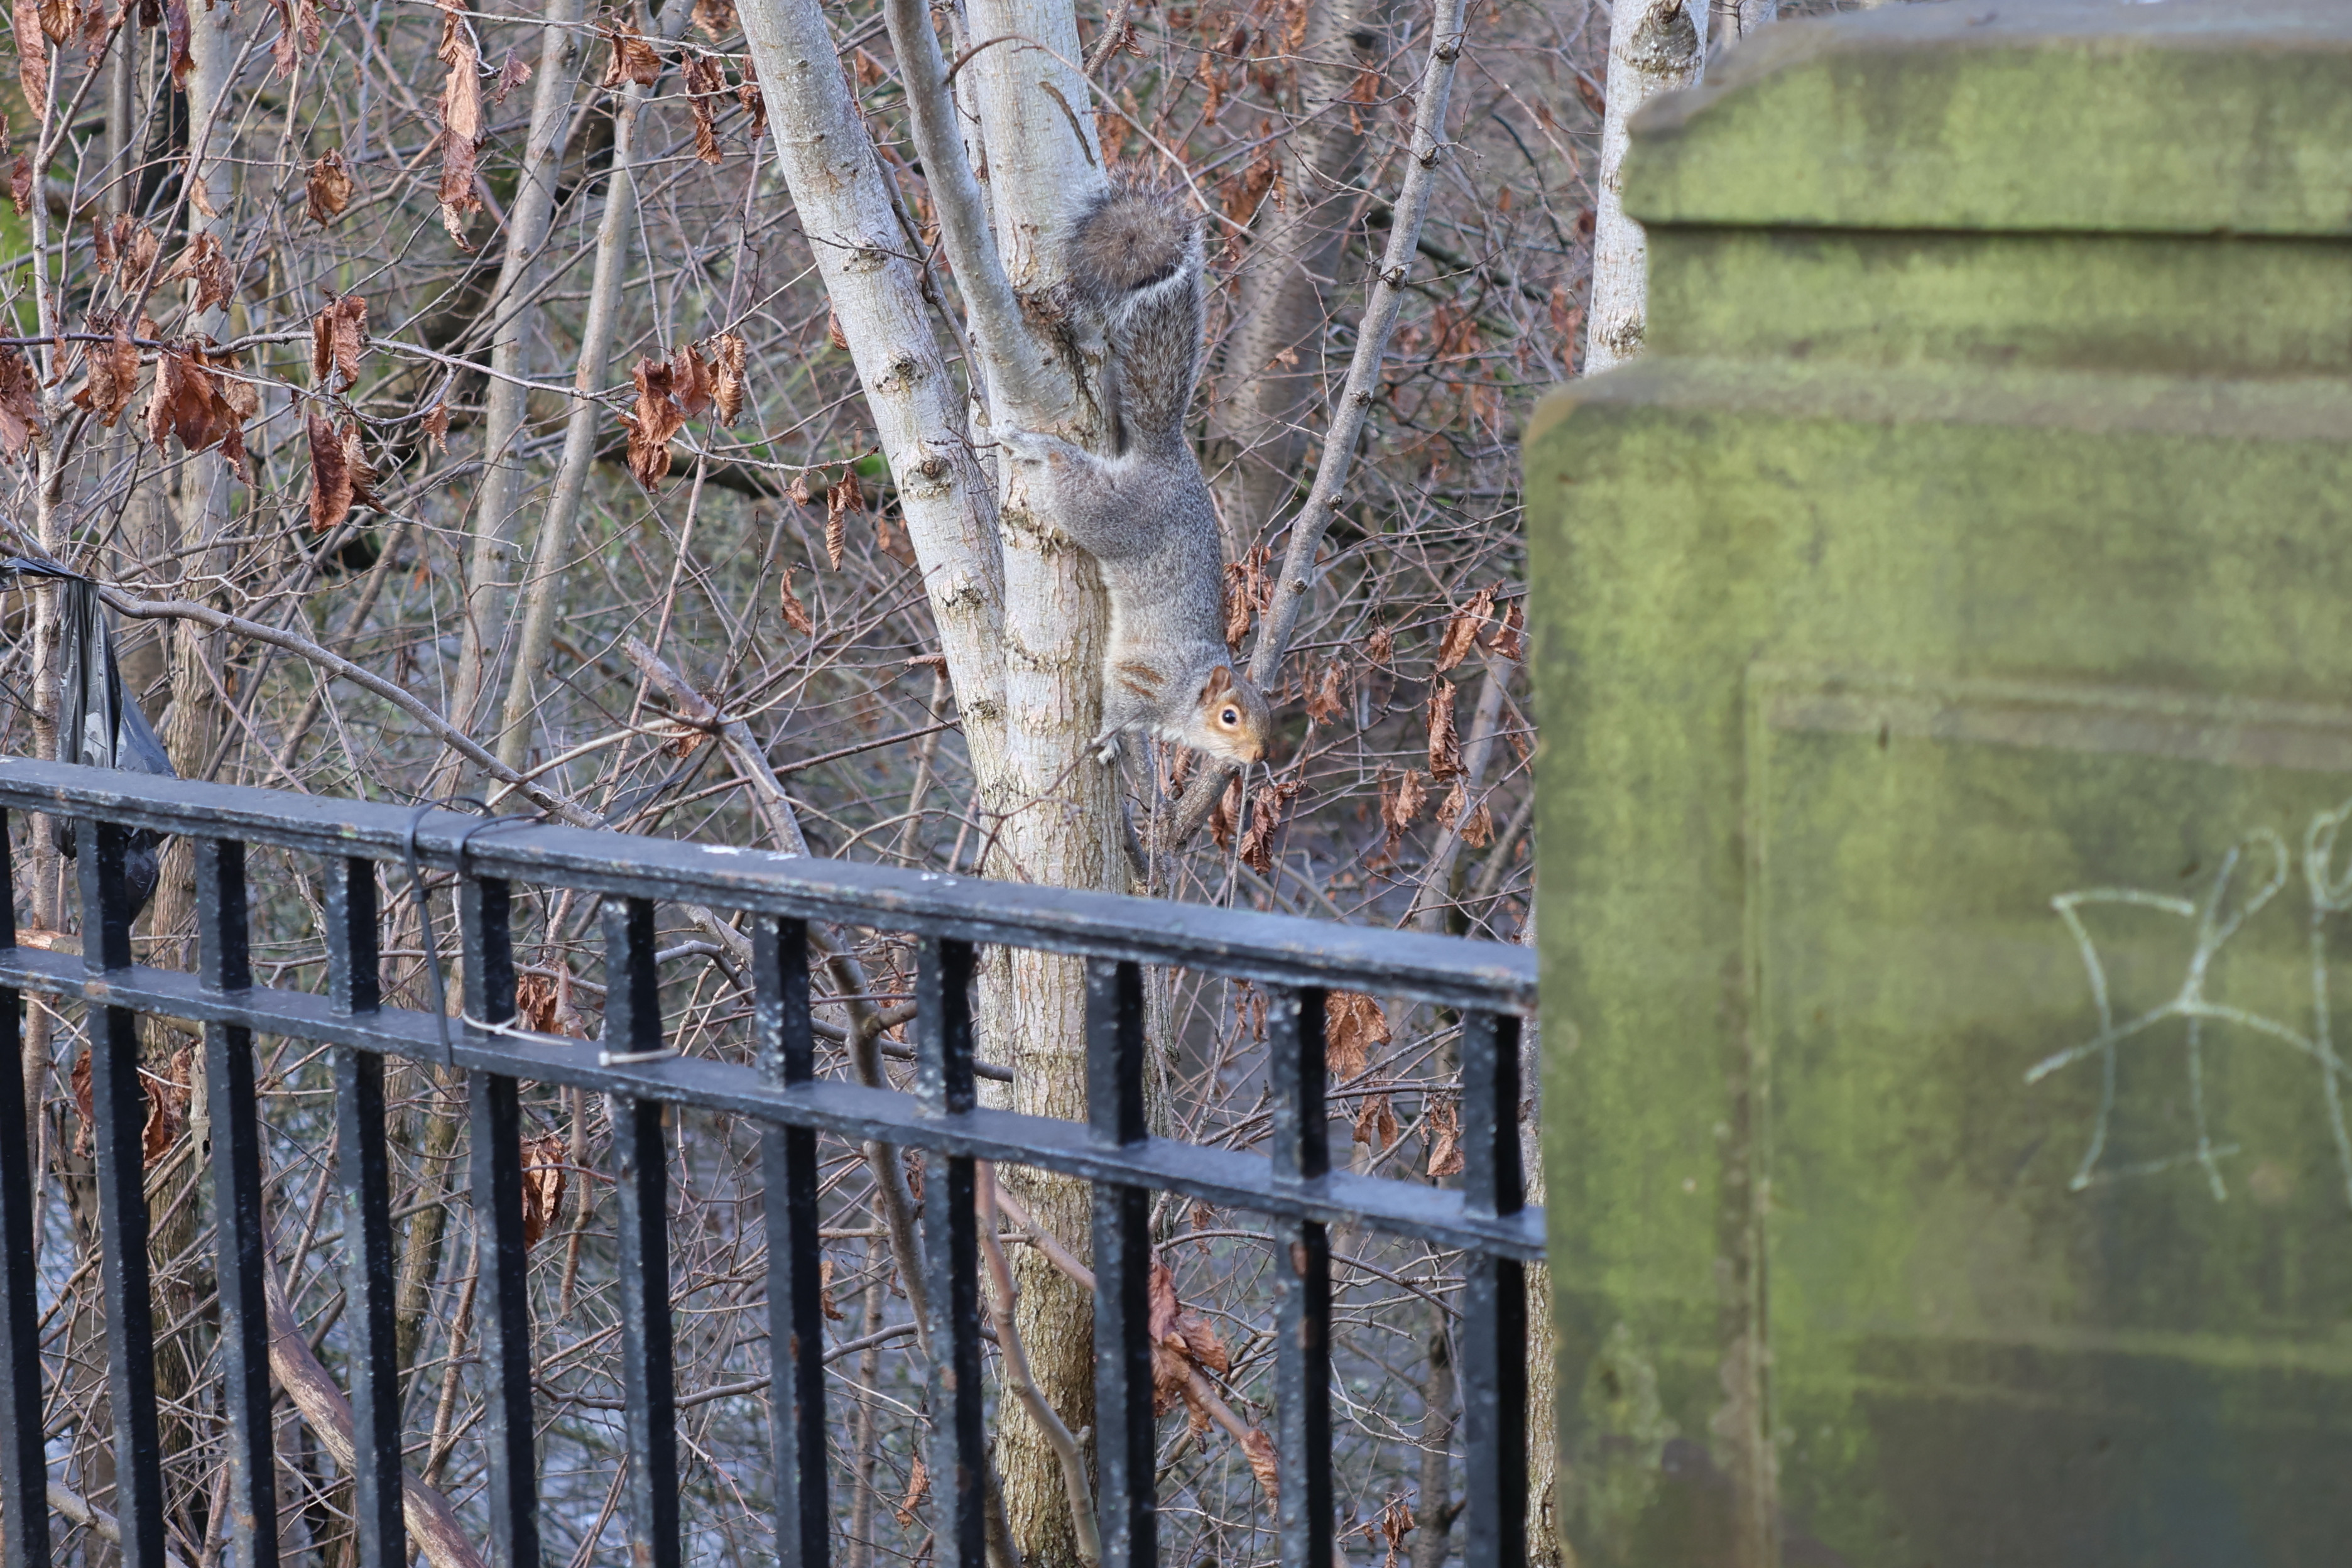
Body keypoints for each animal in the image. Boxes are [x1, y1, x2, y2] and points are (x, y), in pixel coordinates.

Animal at [1001, 177, 1279, 766]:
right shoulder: (1142, 678)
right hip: (1109, 512)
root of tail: (1167, 455)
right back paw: (1033, 444)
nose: (1257, 758)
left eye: (1268, 716)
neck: (1187, 691)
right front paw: (1109, 740)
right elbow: (1116, 708)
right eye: (1229, 717)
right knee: (1066, 471)